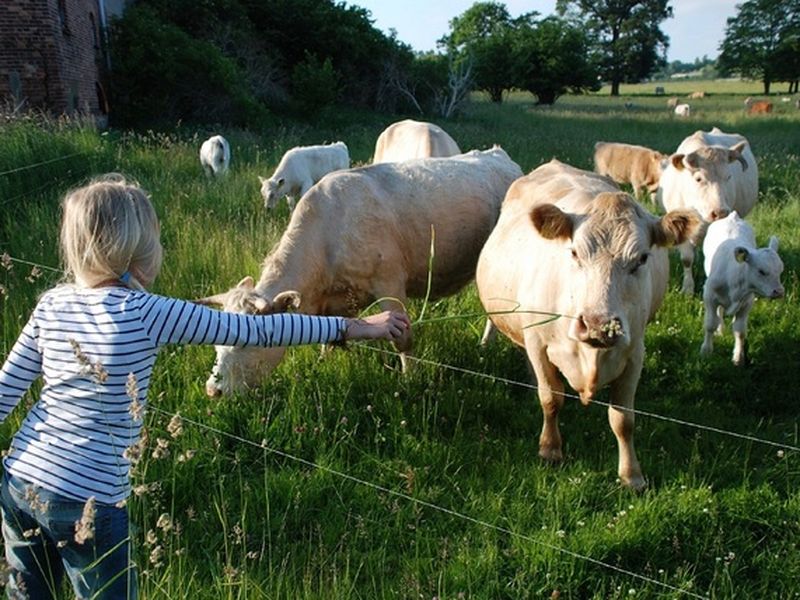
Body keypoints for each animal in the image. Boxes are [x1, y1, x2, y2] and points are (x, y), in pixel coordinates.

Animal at [200, 148, 524, 396]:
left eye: (246, 341)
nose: (213, 390)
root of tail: (499, 155)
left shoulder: (390, 285)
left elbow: (402, 340)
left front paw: (410, 380)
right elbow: (329, 337)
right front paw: (323, 364)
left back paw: (485, 345)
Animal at [476, 158, 700, 488]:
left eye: (642, 258)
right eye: (574, 252)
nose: (598, 325)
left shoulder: (634, 353)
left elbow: (623, 419)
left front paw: (632, 475)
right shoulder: (538, 342)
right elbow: (551, 398)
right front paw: (550, 449)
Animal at [704, 213, 784, 368]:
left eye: (780, 270)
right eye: (761, 271)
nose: (779, 291)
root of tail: (732, 216)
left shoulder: (747, 303)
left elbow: (740, 331)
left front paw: (738, 358)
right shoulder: (709, 296)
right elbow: (710, 324)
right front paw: (706, 350)